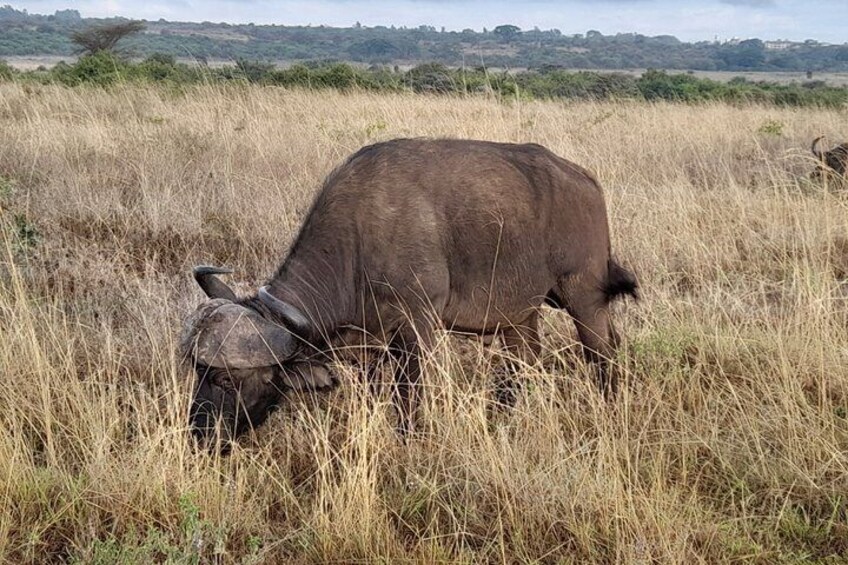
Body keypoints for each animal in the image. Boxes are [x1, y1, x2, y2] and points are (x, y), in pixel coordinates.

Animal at [181, 138, 638, 443]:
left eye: (225, 380)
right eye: (197, 371)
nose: (198, 434)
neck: (357, 243)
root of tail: (585, 181)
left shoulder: (418, 329)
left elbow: (409, 397)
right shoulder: (367, 343)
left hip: (584, 298)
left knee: (603, 355)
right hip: (519, 315)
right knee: (523, 362)